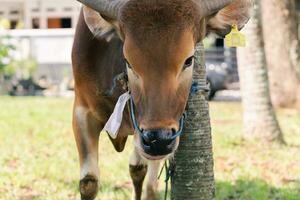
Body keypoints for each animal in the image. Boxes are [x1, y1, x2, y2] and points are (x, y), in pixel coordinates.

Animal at [72, 0, 253, 199]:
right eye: (128, 61)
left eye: (189, 60)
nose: (158, 140)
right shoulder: (81, 112)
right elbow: (89, 182)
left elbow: (147, 180)